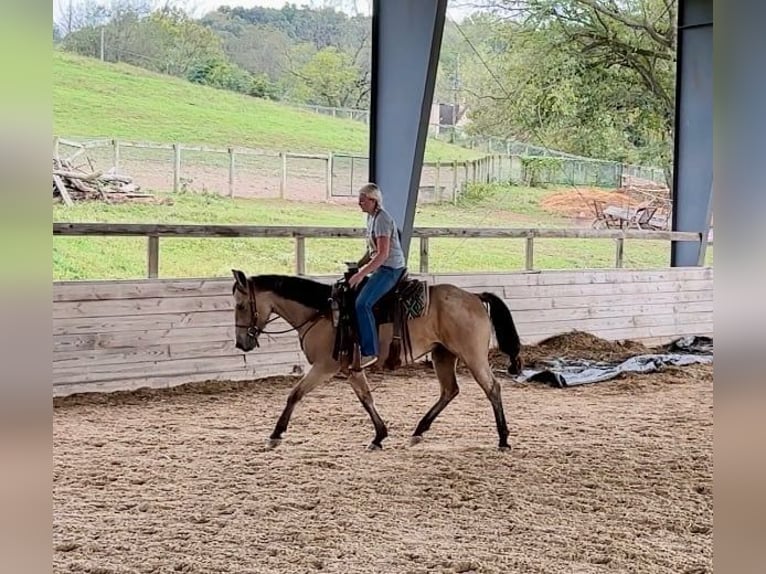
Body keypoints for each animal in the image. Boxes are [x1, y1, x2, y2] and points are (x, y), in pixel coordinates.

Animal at [231, 272, 524, 454]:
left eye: (240, 305)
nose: (241, 343)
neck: (323, 312)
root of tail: (474, 296)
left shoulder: (325, 366)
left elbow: (295, 394)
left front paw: (275, 435)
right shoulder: (351, 370)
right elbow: (366, 398)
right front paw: (379, 436)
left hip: (473, 357)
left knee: (492, 388)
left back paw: (503, 439)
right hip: (443, 355)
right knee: (449, 391)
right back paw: (419, 430)